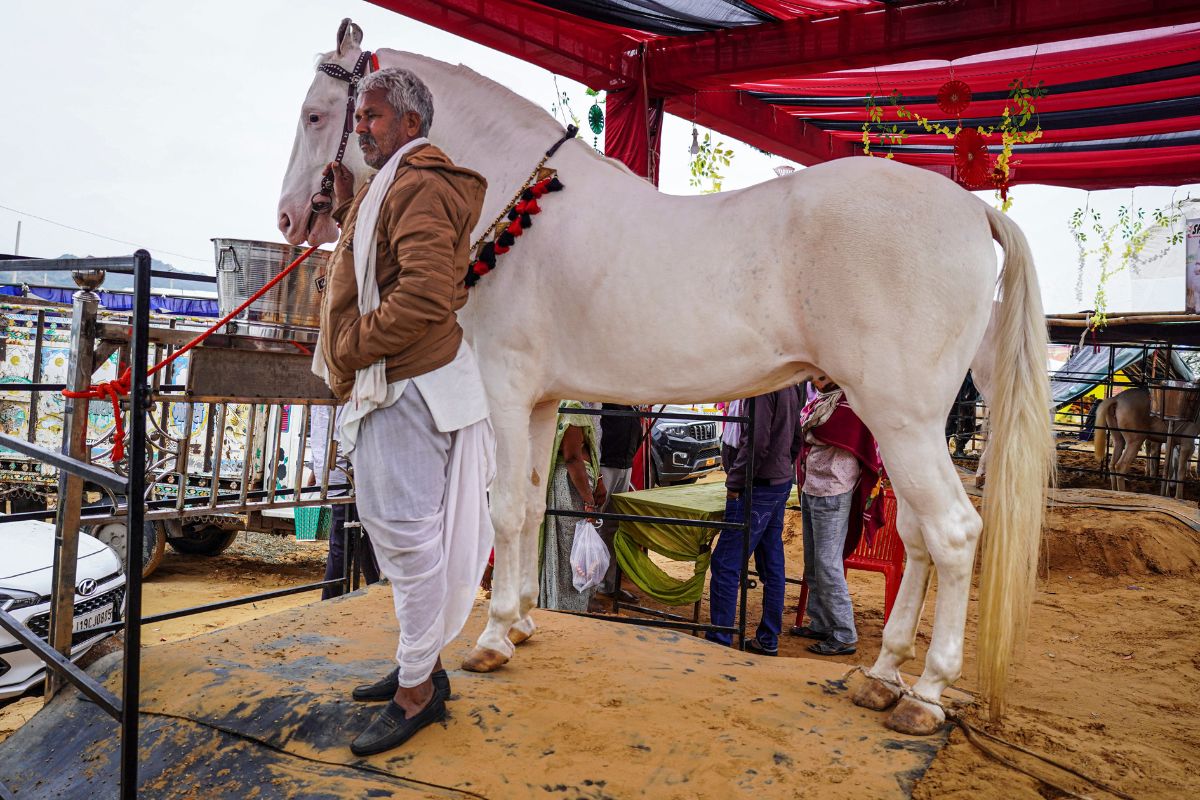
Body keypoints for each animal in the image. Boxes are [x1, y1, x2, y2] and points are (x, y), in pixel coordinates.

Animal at [275, 19, 1053, 735]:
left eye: (317, 115)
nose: (287, 219)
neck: (521, 203)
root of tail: (971, 207)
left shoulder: (503, 386)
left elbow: (505, 510)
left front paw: (493, 640)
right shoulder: (539, 401)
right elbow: (532, 504)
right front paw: (521, 620)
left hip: (901, 417)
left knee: (954, 533)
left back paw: (925, 695)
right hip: (906, 422)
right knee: (921, 537)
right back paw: (885, 676)